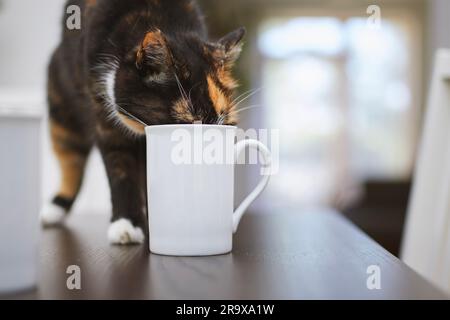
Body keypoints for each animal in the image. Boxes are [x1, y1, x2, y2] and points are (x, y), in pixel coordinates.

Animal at [40, 0, 246, 245]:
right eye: (188, 120)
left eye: (223, 122)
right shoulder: (105, 119)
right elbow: (120, 170)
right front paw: (126, 225)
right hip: (62, 111)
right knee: (71, 160)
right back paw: (53, 210)